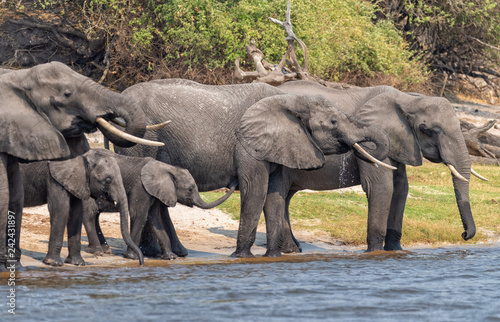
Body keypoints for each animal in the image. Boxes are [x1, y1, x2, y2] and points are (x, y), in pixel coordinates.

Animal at [0, 61, 159, 270]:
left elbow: (74, 208)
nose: (140, 263)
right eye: (67, 94)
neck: (20, 77)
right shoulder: (53, 174)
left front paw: (77, 264)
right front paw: (54, 264)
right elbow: (59, 207)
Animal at [115, 79, 392, 258]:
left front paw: (272, 256)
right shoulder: (247, 145)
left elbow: (275, 195)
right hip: (140, 141)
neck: (289, 100)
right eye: (334, 122)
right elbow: (255, 189)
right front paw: (241, 257)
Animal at [280, 80, 478, 252]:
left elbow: (401, 189)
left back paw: (292, 249)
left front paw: (395, 250)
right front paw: (375, 252)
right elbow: (382, 187)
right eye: (428, 130)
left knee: (285, 195)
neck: (408, 99)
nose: (464, 235)